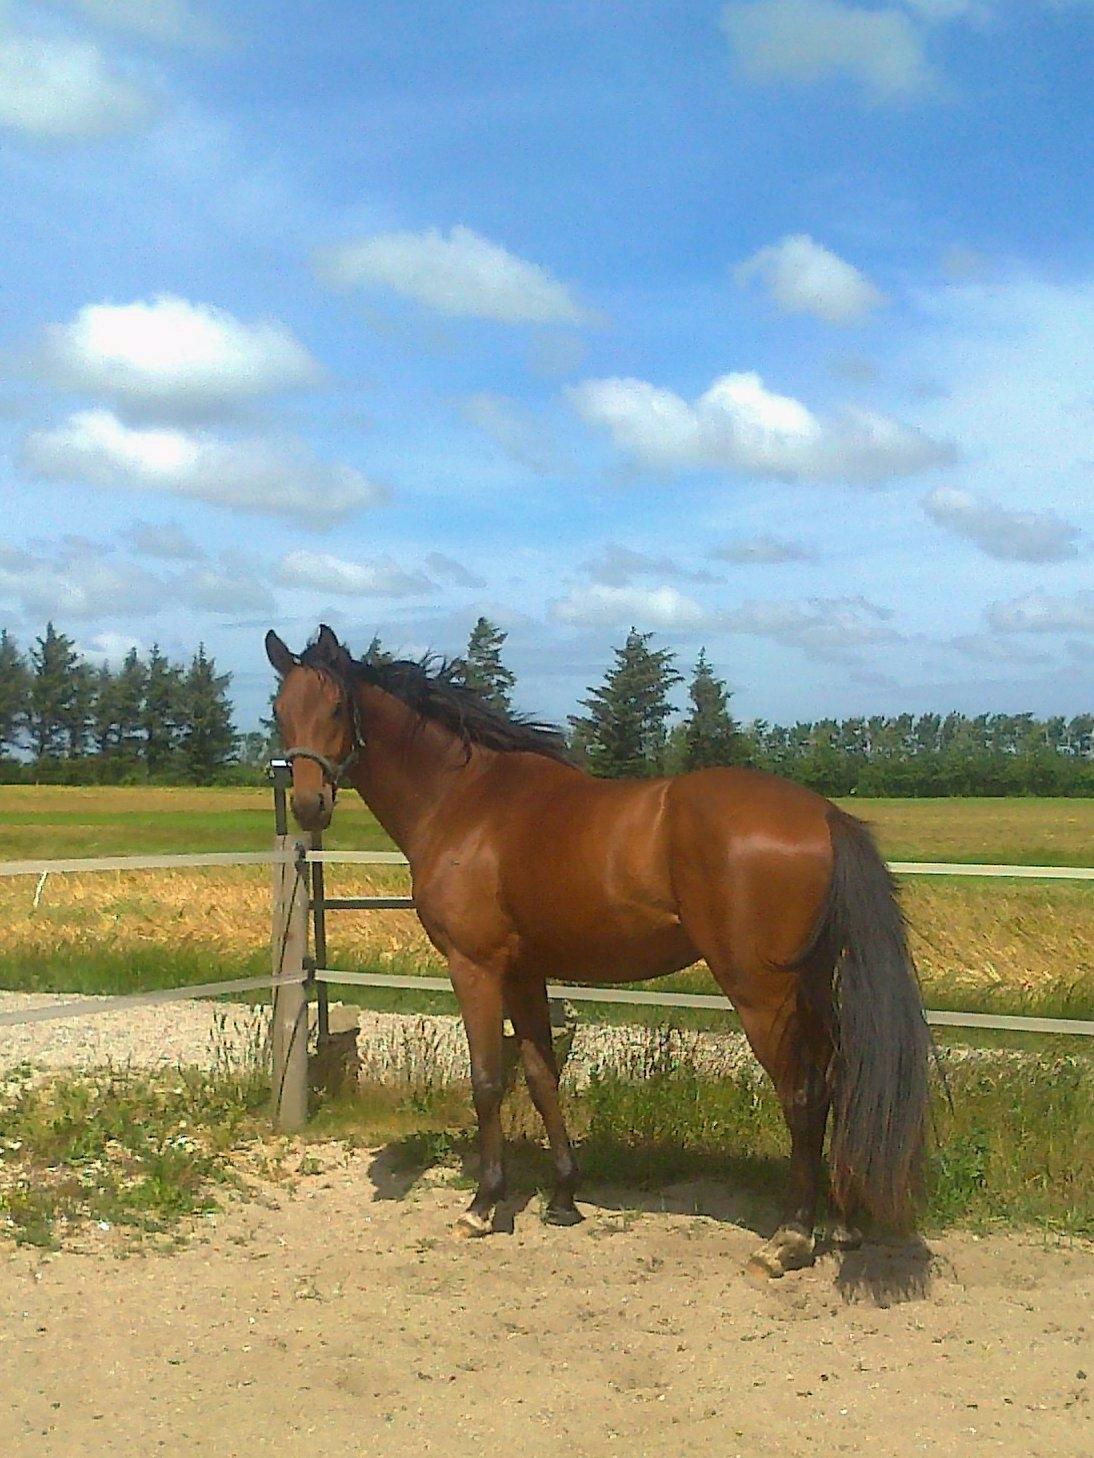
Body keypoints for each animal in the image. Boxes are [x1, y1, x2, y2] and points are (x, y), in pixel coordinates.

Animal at [269, 624, 927, 1277]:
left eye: (336, 706)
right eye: (279, 711)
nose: (307, 805)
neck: (464, 800)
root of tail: (824, 814)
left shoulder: (475, 968)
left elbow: (487, 1080)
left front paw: (483, 1205)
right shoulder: (525, 973)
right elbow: (541, 1077)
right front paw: (563, 1197)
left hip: (763, 996)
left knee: (804, 1094)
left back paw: (791, 1237)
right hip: (810, 986)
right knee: (837, 1080)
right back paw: (840, 1224)